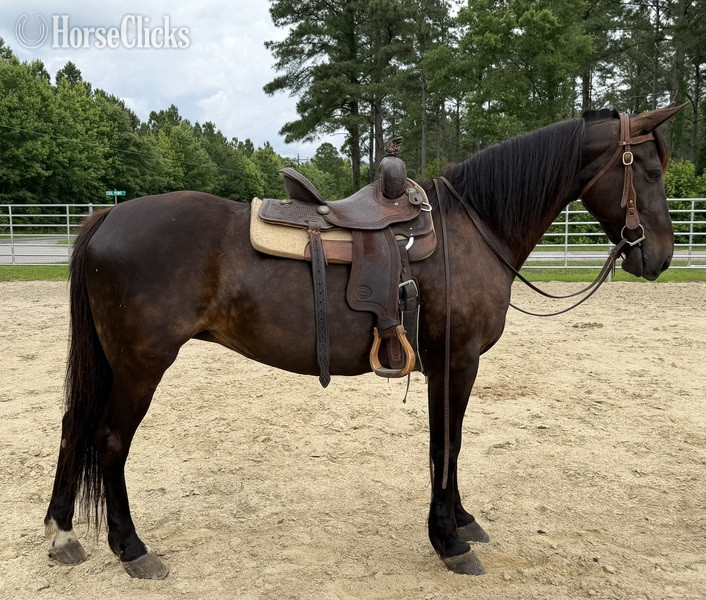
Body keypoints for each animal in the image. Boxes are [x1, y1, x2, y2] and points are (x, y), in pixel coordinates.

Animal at [44, 105, 683, 579]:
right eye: (651, 172)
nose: (658, 257)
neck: (474, 227)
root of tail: (106, 217)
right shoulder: (456, 363)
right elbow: (447, 445)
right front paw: (450, 542)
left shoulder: (447, 368)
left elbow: (447, 446)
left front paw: (461, 521)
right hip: (140, 366)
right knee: (109, 441)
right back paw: (131, 549)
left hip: (113, 365)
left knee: (75, 427)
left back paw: (62, 533)